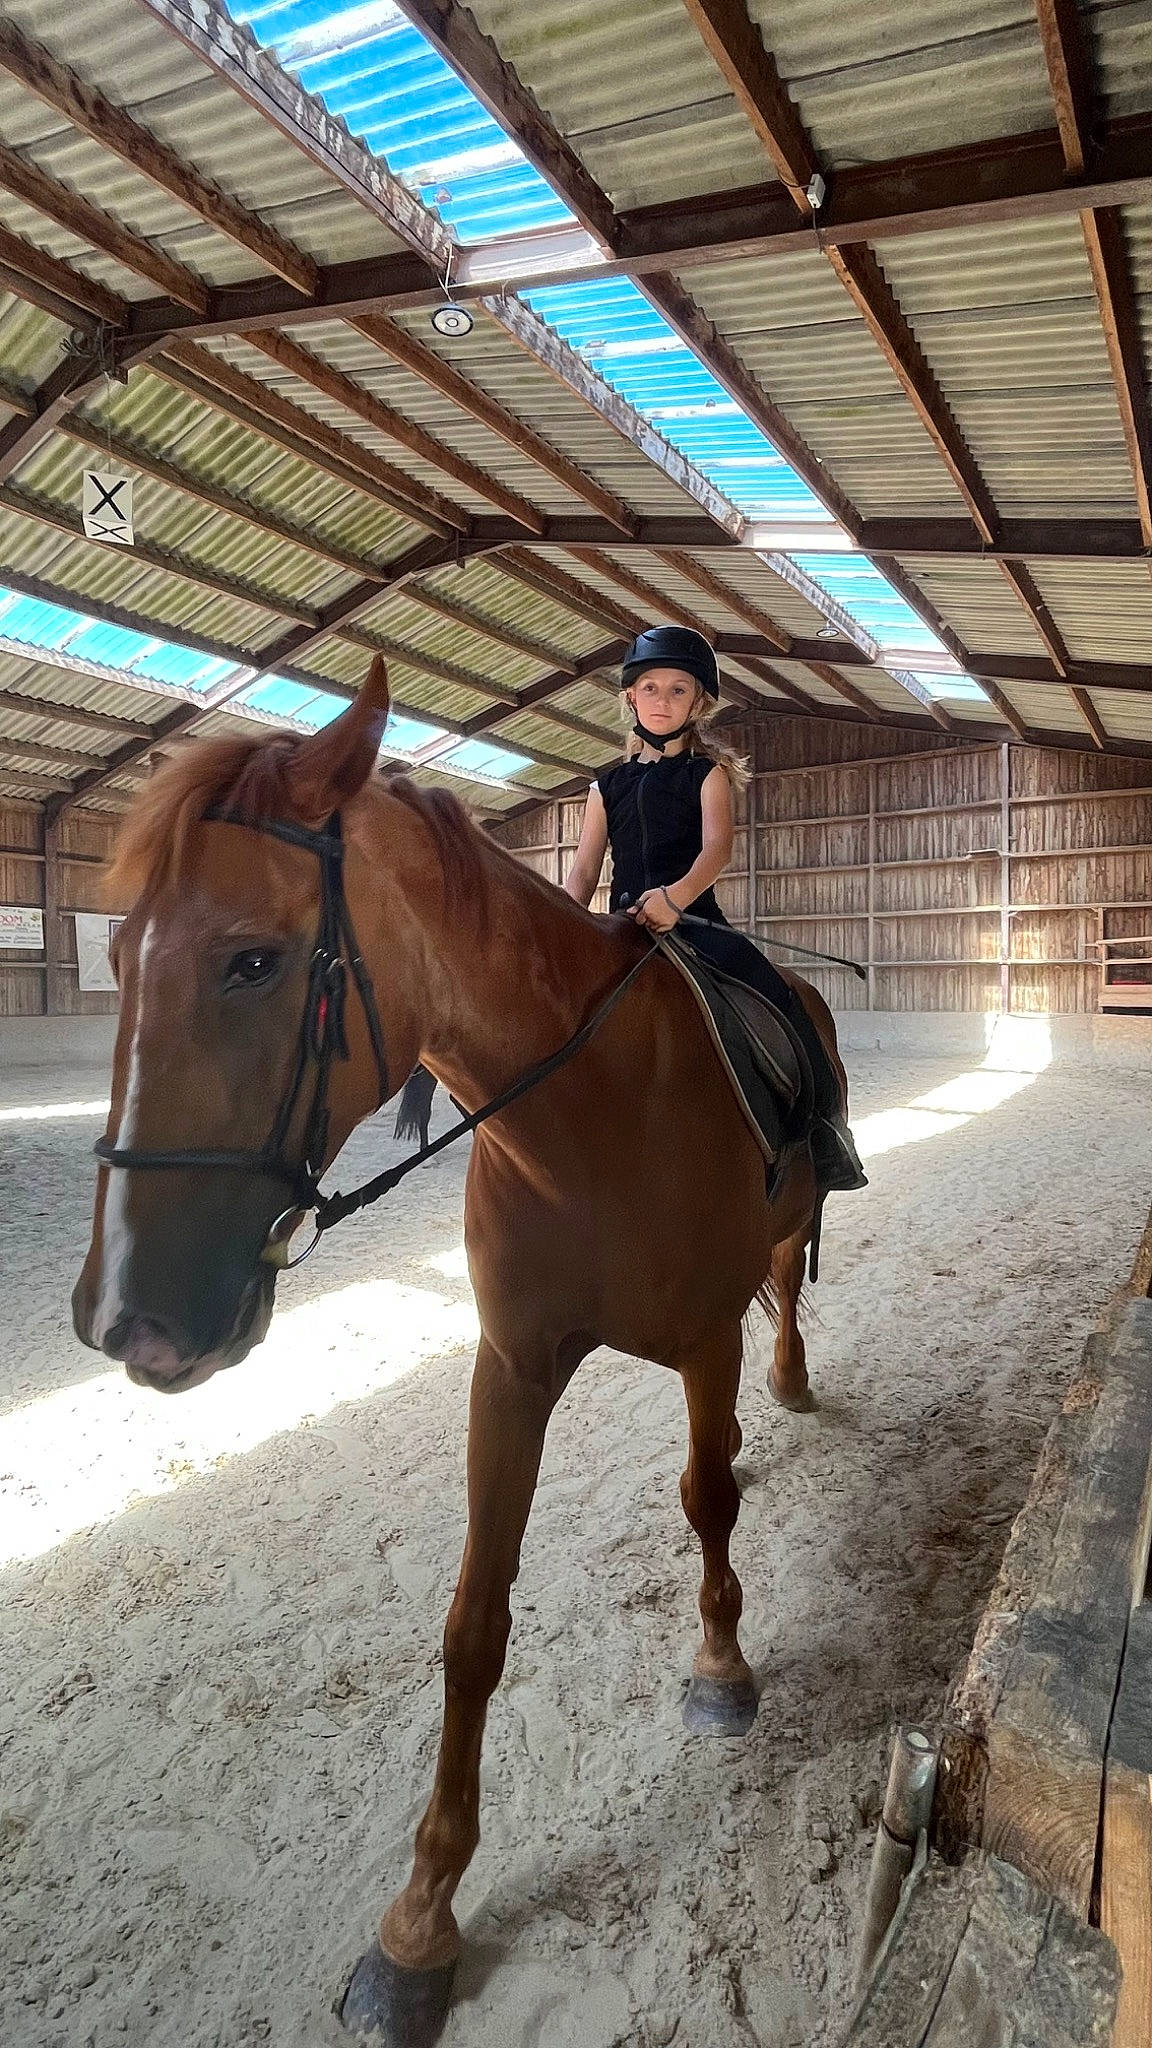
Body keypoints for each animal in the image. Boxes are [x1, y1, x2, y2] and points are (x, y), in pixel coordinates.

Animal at [72, 658, 850, 2045]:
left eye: (253, 959)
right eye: (113, 951)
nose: (127, 1319)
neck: (591, 1110)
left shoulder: (702, 1336)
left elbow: (706, 1496)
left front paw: (720, 1667)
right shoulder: (511, 1365)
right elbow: (474, 1621)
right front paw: (421, 1919)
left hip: (783, 1234)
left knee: (783, 1286)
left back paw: (794, 1380)